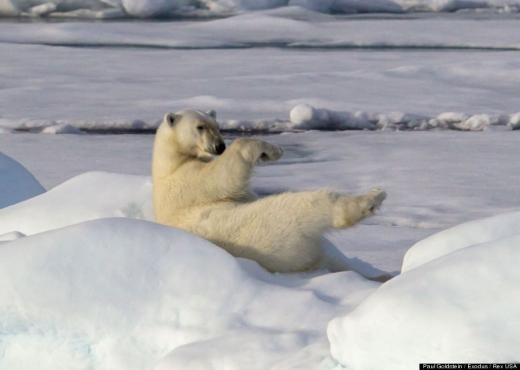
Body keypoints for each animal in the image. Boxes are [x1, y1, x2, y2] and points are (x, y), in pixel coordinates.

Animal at [151, 110, 386, 274]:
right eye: (200, 127)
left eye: (217, 126)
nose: (219, 146)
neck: (169, 164)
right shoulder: (187, 181)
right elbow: (223, 175)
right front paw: (272, 150)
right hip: (276, 230)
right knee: (308, 206)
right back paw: (373, 198)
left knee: (336, 257)